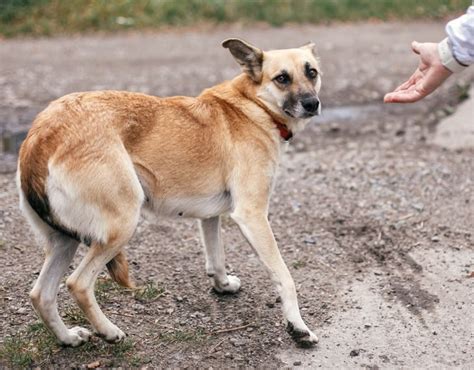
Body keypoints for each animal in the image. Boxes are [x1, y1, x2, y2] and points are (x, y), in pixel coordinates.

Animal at [17, 39, 322, 348]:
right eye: (282, 78)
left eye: (312, 72)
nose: (312, 104)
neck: (253, 106)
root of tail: (41, 135)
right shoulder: (252, 215)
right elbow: (285, 276)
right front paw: (298, 327)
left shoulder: (210, 217)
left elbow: (216, 258)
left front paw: (222, 285)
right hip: (121, 225)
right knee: (77, 284)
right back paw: (109, 331)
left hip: (64, 240)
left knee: (41, 294)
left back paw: (67, 338)